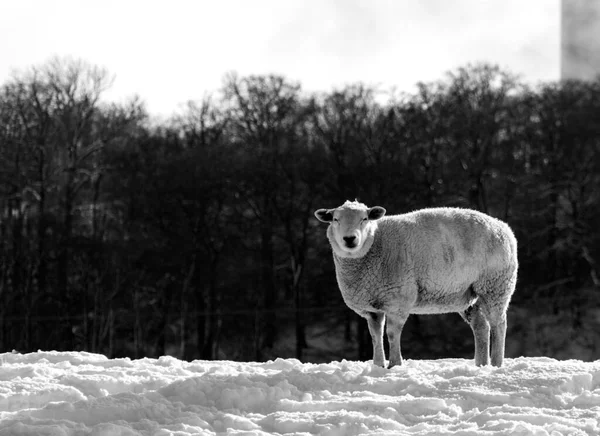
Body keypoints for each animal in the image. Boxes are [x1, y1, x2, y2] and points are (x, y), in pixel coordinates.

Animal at [316, 201, 516, 368]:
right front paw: (378, 365)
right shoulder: (372, 308)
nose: (350, 239)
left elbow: (391, 333)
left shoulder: (398, 300)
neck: (375, 245)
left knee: (499, 324)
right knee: (481, 326)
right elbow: (375, 335)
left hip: (495, 285)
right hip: (468, 293)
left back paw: (496, 364)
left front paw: (395, 365)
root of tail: (504, 227)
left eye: (364, 219)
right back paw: (481, 365)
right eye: (335, 219)